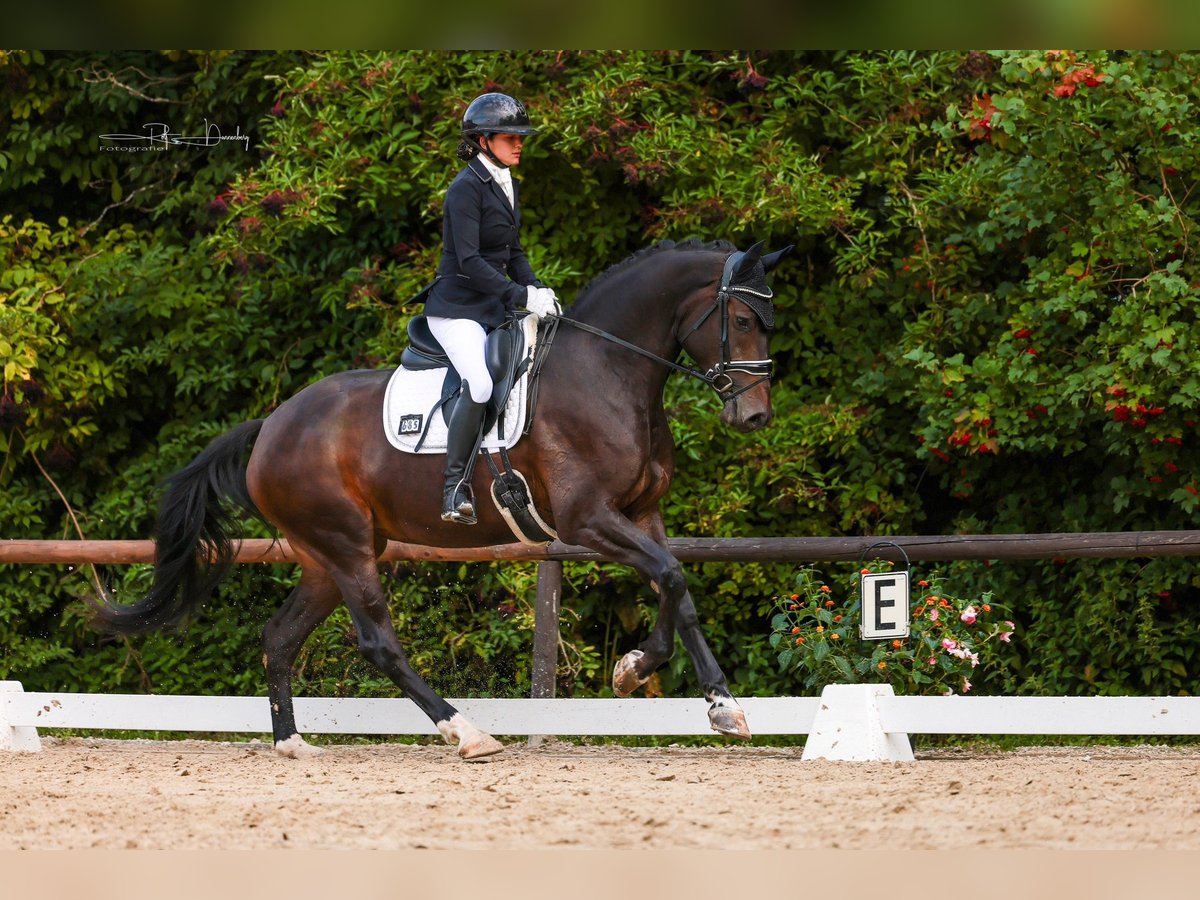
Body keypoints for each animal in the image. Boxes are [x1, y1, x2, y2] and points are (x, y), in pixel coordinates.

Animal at [92, 237, 792, 760]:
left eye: (767, 322)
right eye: (742, 321)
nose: (756, 416)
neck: (609, 372)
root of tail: (270, 426)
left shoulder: (643, 514)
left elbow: (678, 590)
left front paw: (707, 700)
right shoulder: (587, 520)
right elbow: (671, 577)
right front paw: (647, 674)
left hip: (324, 557)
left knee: (280, 636)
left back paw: (293, 743)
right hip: (347, 548)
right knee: (378, 643)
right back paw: (467, 732)